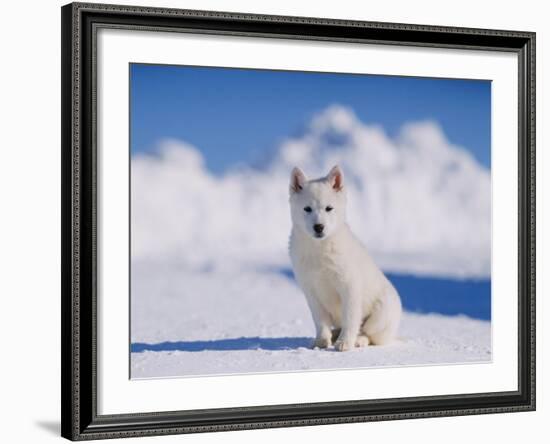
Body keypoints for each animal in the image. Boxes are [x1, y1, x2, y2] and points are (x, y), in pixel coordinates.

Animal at [292, 166, 404, 350]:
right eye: (307, 209)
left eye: (329, 208)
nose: (319, 227)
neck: (320, 249)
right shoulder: (310, 291)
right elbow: (320, 321)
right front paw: (322, 341)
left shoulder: (349, 287)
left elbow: (350, 319)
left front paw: (345, 342)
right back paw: (334, 334)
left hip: (380, 314)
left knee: (369, 333)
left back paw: (358, 340)